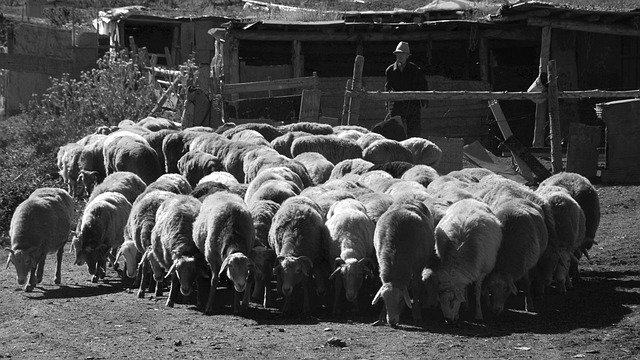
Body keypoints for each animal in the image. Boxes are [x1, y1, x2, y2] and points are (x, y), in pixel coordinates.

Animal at [370, 198, 436, 328]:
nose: (391, 321)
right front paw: (381, 317)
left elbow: (415, 287)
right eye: (383, 300)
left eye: (401, 299)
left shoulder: (418, 266)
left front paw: (416, 314)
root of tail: (410, 199)